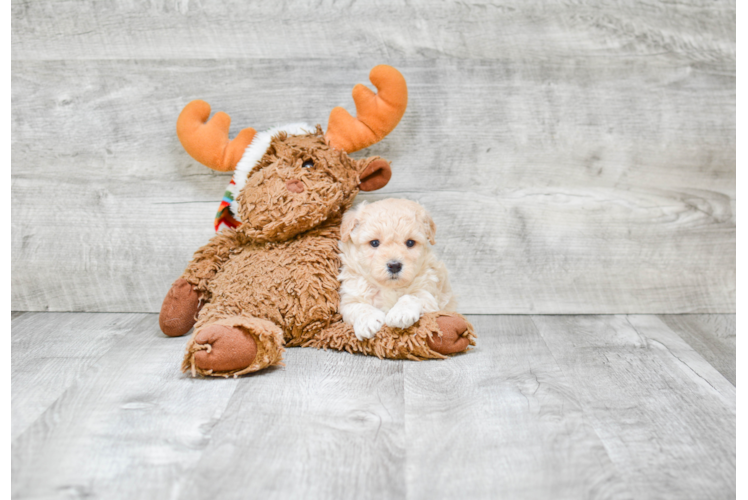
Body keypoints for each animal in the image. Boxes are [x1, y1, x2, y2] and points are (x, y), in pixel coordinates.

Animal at [338, 198, 456, 340]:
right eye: (374, 243)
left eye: (410, 243)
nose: (394, 265)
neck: (389, 287)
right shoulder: (349, 299)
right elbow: (360, 307)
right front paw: (368, 321)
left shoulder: (428, 293)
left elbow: (413, 296)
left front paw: (400, 313)